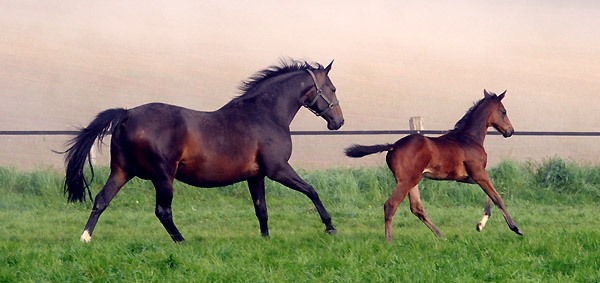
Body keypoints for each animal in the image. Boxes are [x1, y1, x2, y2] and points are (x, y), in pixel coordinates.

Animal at [63, 58, 344, 243]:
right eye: (332, 88)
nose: (338, 122)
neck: (264, 114)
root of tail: (127, 114)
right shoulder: (278, 169)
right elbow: (311, 190)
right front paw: (330, 226)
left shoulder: (256, 175)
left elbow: (261, 208)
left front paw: (265, 239)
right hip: (163, 176)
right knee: (163, 211)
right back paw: (182, 241)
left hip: (121, 171)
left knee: (101, 200)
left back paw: (85, 238)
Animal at [344, 90, 524, 242]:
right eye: (504, 111)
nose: (510, 131)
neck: (469, 138)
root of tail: (393, 146)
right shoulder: (479, 173)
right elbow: (497, 197)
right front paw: (516, 228)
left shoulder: (470, 177)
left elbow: (490, 195)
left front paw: (480, 225)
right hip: (407, 181)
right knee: (391, 205)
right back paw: (389, 241)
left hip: (412, 181)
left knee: (417, 208)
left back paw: (442, 236)